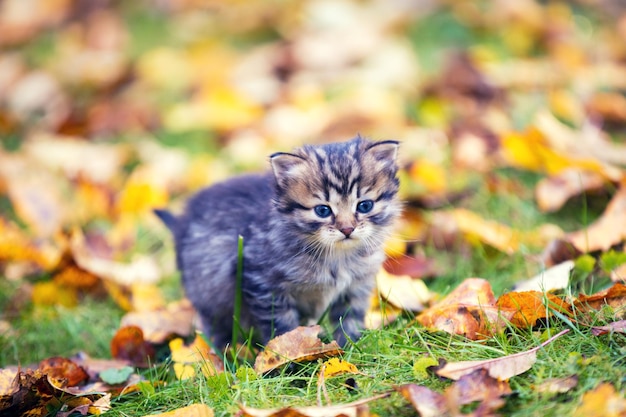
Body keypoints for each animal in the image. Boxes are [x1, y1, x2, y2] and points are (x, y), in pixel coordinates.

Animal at [156, 136, 400, 348]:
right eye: (322, 210)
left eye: (364, 206)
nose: (347, 229)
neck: (337, 255)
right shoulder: (263, 283)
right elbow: (282, 325)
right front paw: (288, 357)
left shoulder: (356, 286)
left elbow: (349, 319)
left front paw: (351, 348)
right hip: (209, 295)